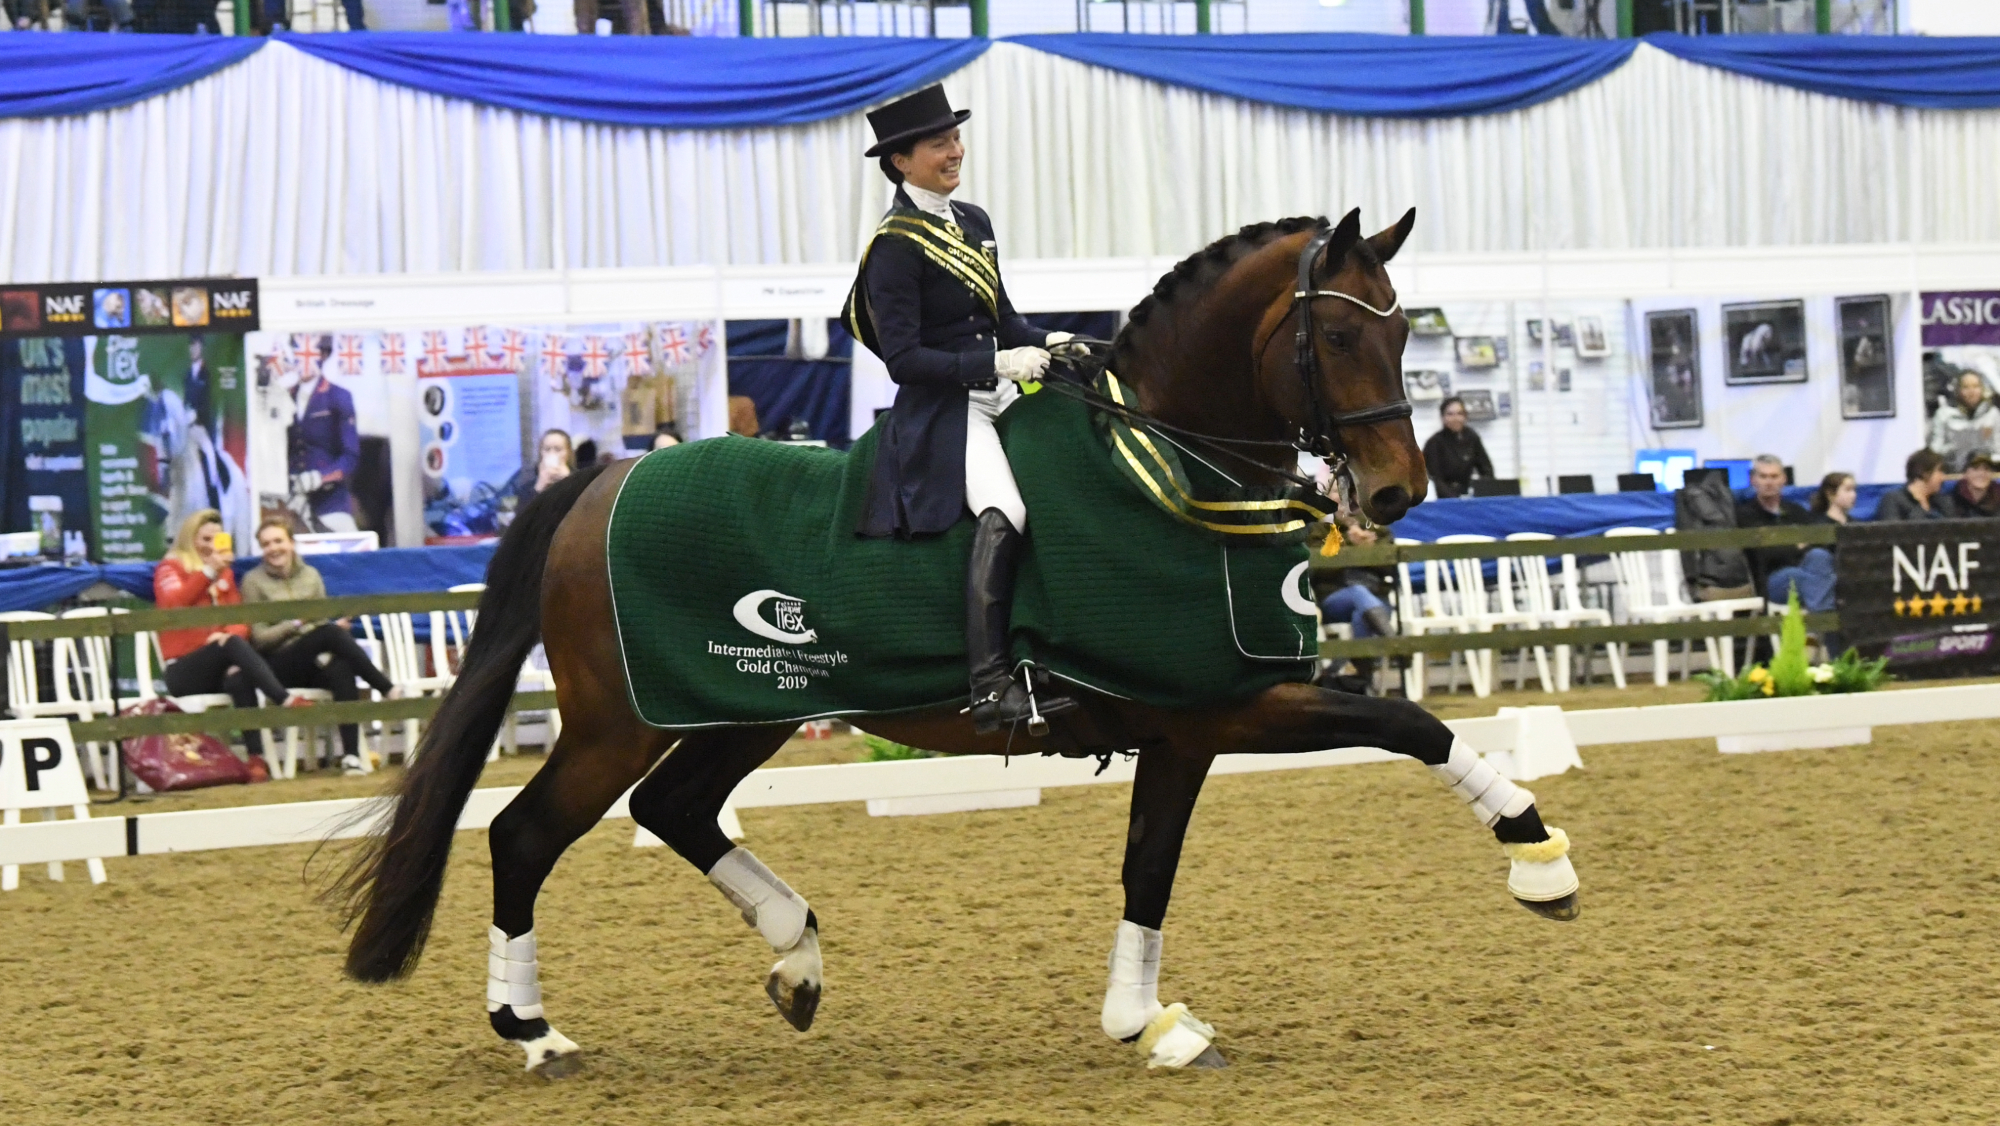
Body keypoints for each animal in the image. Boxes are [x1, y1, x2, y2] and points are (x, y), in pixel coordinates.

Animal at [329, 207, 1582, 1077]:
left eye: (1402, 326)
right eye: (1329, 332)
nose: (1395, 491)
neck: (1170, 470)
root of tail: (600, 480)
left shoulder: (1186, 725)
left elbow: (1151, 865)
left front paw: (1148, 1022)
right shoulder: (1229, 704)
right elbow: (1408, 721)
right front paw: (1538, 859)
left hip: (747, 707)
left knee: (674, 809)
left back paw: (795, 956)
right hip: (617, 720)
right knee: (526, 835)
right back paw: (533, 1029)